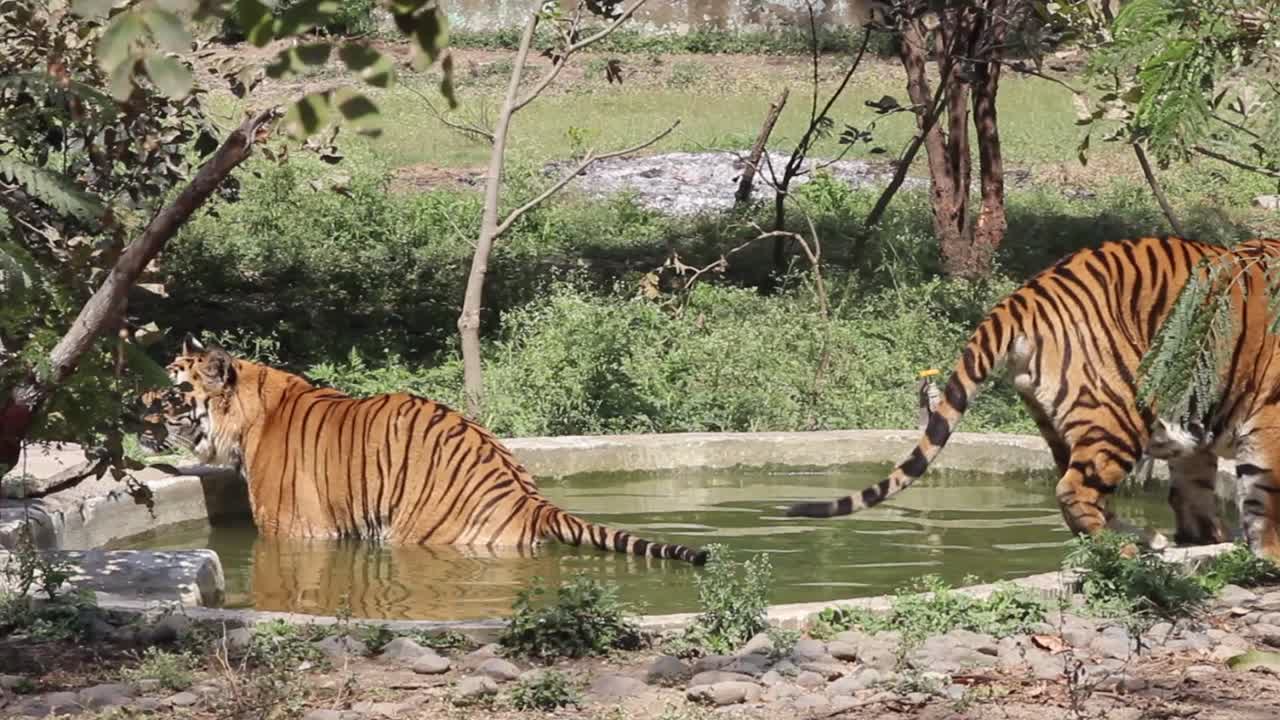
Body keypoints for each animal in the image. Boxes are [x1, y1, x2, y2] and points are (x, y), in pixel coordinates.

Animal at [138, 334, 709, 564]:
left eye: (170, 393)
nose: (132, 411)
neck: (249, 413)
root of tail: (531, 501)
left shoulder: (297, 531)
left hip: (420, 532)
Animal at [786, 235, 1280, 562]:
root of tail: (1025, 293)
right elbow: (1264, 496)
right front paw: (1266, 556)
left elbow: (1194, 491)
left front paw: (1208, 540)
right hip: (1117, 410)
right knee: (1075, 490)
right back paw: (1124, 549)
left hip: (1059, 417)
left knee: (1079, 488)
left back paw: (1145, 538)